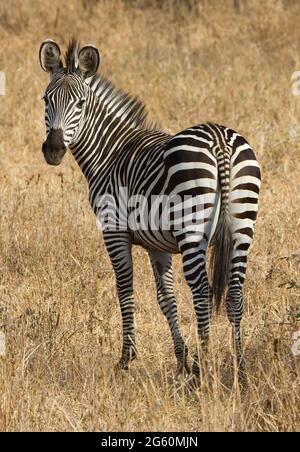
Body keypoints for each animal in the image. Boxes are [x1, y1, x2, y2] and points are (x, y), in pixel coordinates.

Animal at [39, 38, 260, 382]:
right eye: (46, 99)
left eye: (80, 104)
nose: (53, 150)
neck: (111, 151)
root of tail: (219, 140)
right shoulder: (159, 245)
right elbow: (165, 298)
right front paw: (180, 359)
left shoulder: (114, 230)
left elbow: (125, 289)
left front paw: (126, 359)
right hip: (241, 225)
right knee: (235, 294)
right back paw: (238, 367)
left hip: (192, 228)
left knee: (202, 292)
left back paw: (202, 368)